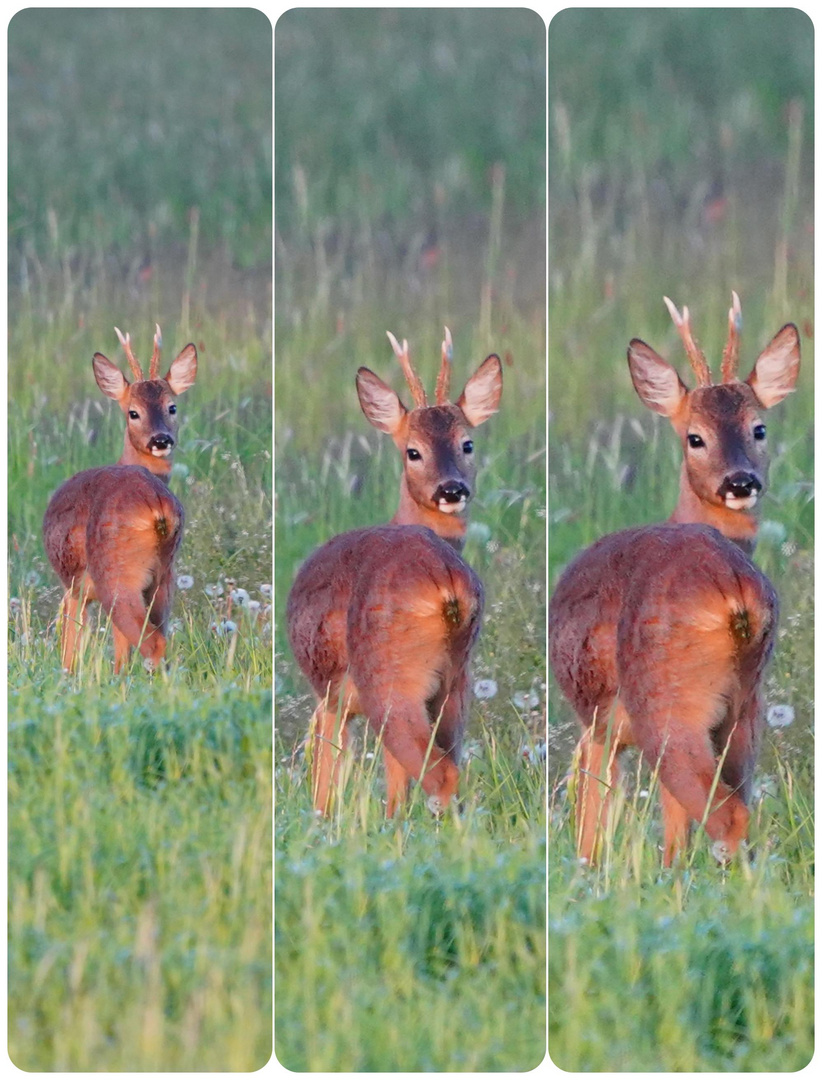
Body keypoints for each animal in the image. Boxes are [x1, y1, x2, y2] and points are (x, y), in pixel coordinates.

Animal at [43, 324, 198, 669]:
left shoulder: (74, 586)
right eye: (133, 412)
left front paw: (68, 674)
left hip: (116, 573)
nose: (160, 440)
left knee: (151, 642)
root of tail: (157, 505)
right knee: (156, 637)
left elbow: (71, 646)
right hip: (164, 576)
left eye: (172, 406)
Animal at [285, 328, 501, 812]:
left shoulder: (329, 694)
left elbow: (327, 775)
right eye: (413, 451)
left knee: (438, 774)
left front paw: (322, 818)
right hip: (455, 683)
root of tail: (447, 586)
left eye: (467, 443)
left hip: (390, 678)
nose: (451, 489)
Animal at [548, 291, 799, 864]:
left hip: (668, 702)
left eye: (759, 428)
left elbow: (593, 816)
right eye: (695, 437)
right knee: (732, 805)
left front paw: (589, 868)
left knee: (721, 813)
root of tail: (734, 593)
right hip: (745, 707)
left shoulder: (597, 722)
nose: (740, 482)